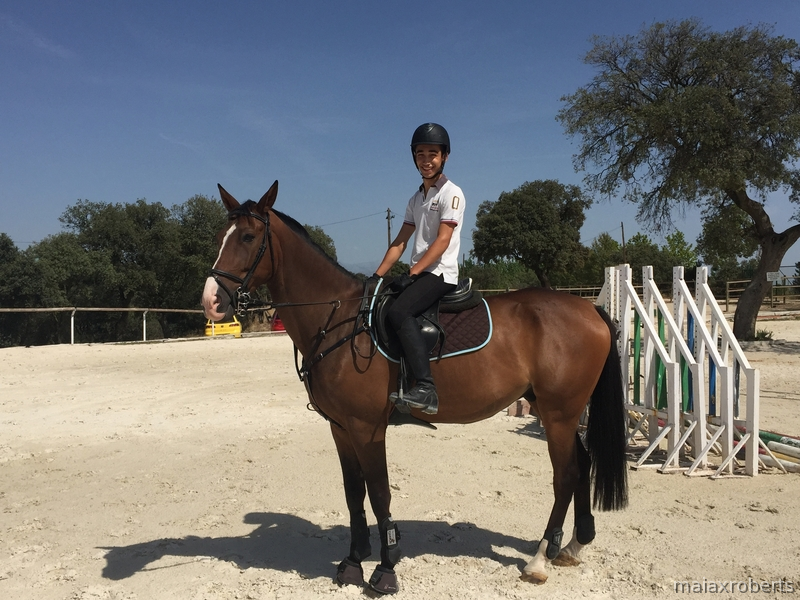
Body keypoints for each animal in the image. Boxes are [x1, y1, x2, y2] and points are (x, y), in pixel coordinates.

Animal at [200, 181, 628, 594]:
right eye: (221, 235)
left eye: (249, 237)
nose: (211, 301)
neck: (340, 319)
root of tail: (587, 308)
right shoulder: (340, 428)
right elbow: (353, 492)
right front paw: (353, 562)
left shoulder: (367, 428)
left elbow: (379, 493)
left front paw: (385, 570)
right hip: (551, 410)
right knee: (583, 464)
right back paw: (572, 545)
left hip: (559, 414)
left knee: (566, 474)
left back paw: (540, 558)